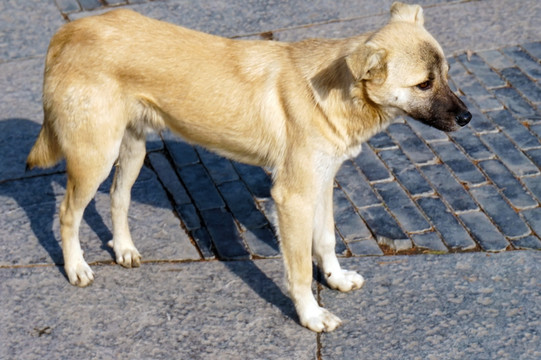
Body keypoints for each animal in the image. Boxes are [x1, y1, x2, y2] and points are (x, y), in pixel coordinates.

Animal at [27, 2, 470, 332]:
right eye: (424, 84)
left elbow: (326, 240)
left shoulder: (322, 184)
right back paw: (76, 267)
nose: (468, 118)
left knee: (118, 198)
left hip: (131, 149)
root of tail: (68, 31)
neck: (334, 91)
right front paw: (310, 315)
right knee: (68, 213)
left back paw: (124, 249)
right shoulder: (292, 197)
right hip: (95, 156)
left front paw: (336, 279)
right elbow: (298, 268)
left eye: (446, 74)